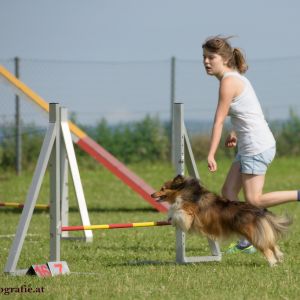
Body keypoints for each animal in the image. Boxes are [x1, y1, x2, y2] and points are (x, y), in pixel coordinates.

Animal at [151, 175, 292, 266]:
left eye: (163, 188)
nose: (152, 195)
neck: (184, 190)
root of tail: (259, 211)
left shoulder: (188, 214)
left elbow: (177, 211)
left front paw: (172, 217)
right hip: (260, 233)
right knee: (272, 244)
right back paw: (279, 258)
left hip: (253, 235)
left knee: (267, 248)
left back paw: (272, 263)